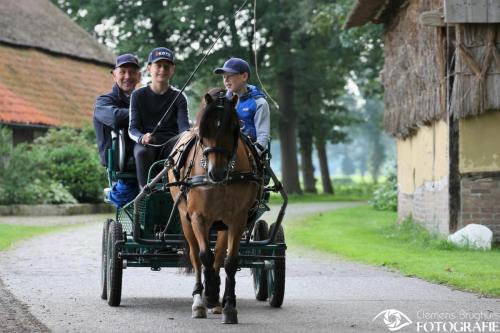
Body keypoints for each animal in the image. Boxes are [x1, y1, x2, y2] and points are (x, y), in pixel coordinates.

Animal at [168, 87, 262, 322]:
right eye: (204, 130)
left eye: (234, 127)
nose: (216, 172)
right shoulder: (198, 217)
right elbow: (204, 256)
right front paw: (208, 296)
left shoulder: (237, 219)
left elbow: (229, 261)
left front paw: (228, 305)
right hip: (185, 218)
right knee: (196, 256)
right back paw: (200, 300)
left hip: (222, 224)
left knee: (219, 256)